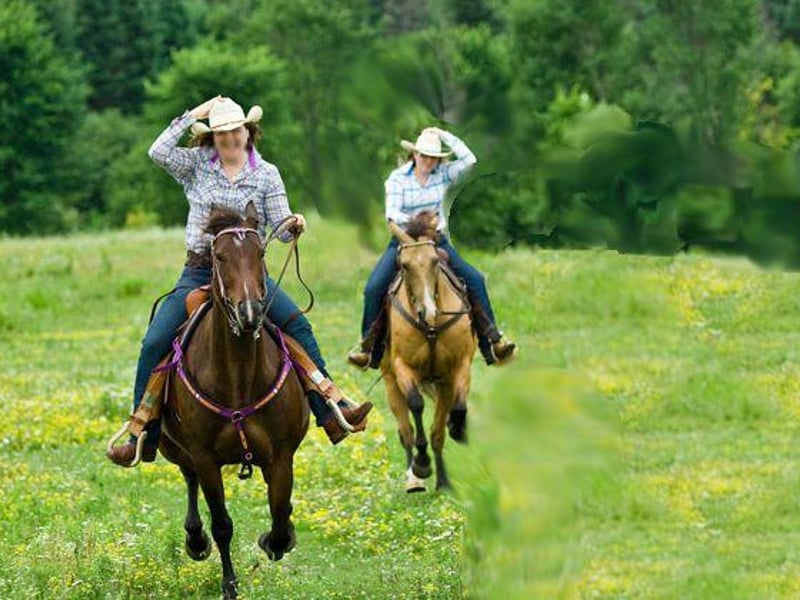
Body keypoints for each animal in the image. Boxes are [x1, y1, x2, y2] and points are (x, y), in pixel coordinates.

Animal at [158, 202, 309, 598]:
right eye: (220, 256)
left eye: (260, 253)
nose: (249, 312)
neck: (239, 375)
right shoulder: (206, 458)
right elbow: (222, 524)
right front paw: (229, 584)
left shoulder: (281, 455)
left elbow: (279, 510)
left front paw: (276, 541)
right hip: (174, 448)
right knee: (189, 479)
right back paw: (195, 541)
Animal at [382, 212, 477, 492]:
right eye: (404, 265)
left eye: (435, 261)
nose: (429, 312)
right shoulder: (403, 367)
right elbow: (416, 404)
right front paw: (422, 464)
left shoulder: (457, 367)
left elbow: (455, 409)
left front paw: (458, 428)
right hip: (391, 384)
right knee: (406, 431)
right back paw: (413, 478)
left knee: (437, 433)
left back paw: (443, 481)